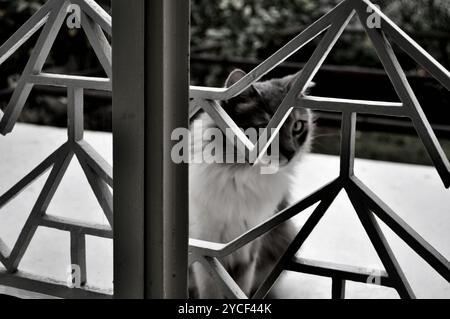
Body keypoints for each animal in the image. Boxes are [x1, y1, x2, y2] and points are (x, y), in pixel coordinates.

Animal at [188, 70, 314, 300]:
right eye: (264, 128)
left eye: (297, 127)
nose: (291, 153)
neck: (241, 175)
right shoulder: (205, 246)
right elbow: (210, 290)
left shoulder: (249, 247)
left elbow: (242, 287)